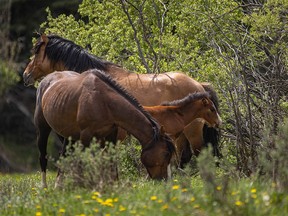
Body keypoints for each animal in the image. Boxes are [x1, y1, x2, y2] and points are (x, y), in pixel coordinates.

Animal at [33, 69, 173, 187]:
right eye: (166, 153)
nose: (163, 180)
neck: (104, 101)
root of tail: (46, 81)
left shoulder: (110, 135)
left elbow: (109, 159)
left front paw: (112, 184)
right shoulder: (86, 136)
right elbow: (86, 161)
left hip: (68, 136)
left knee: (65, 155)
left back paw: (60, 184)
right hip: (43, 130)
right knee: (43, 156)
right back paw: (45, 187)